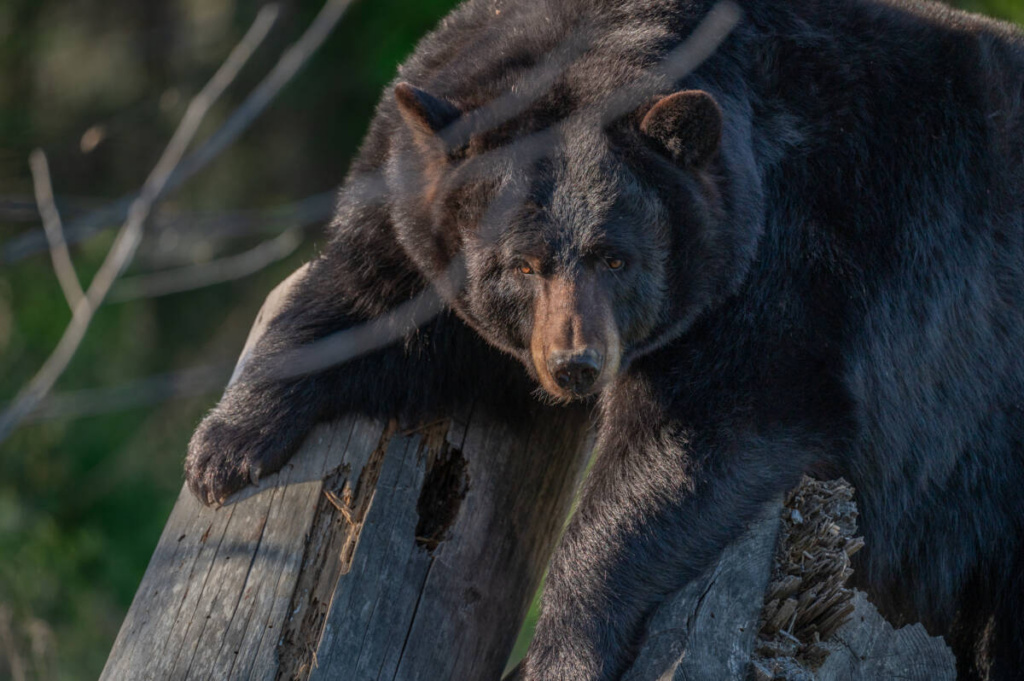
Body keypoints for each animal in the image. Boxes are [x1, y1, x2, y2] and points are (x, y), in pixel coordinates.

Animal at [184, 0, 1024, 678]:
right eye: (520, 263)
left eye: (615, 256)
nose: (577, 363)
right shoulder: (421, 181)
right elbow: (375, 300)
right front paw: (226, 445)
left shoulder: (789, 259)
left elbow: (695, 435)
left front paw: (557, 652)